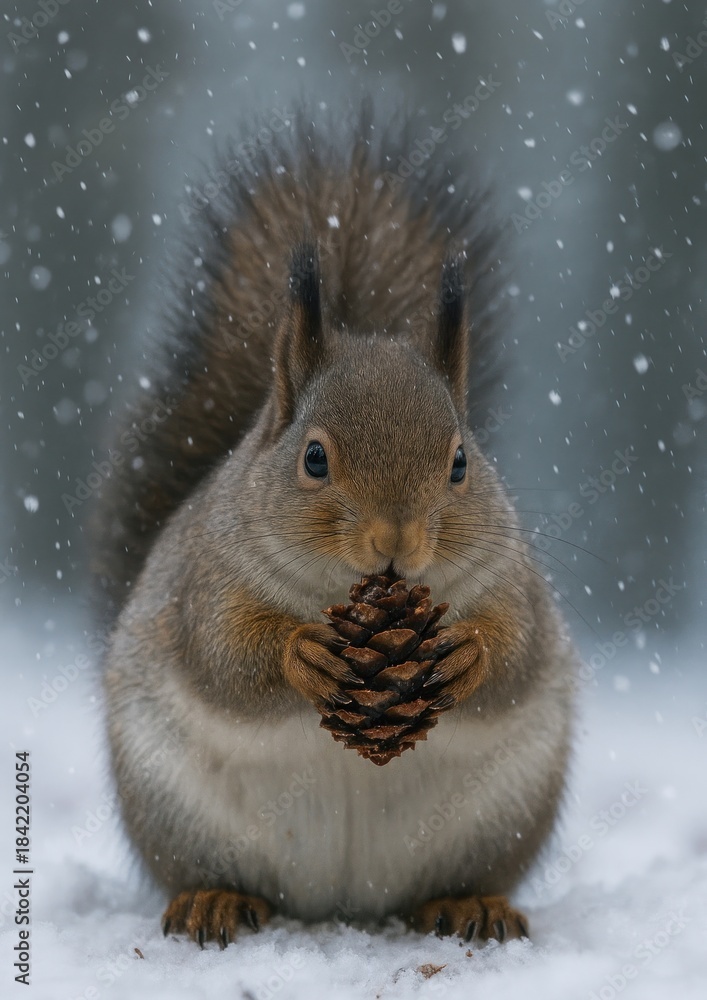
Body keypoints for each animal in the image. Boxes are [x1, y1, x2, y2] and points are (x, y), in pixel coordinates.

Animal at [92, 104, 576, 948]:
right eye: (313, 458)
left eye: (460, 461)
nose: (396, 541)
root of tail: (344, 903)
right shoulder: (205, 580)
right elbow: (222, 659)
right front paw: (302, 652)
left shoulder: (512, 580)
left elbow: (516, 653)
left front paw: (467, 653)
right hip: (170, 806)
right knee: (207, 870)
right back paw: (213, 899)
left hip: (507, 814)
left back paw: (468, 904)